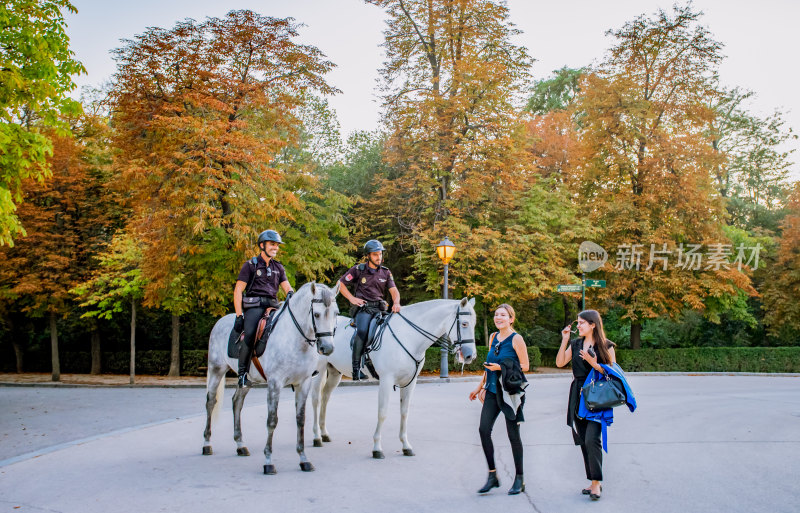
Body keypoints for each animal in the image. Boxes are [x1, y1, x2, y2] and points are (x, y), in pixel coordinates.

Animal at [203, 282, 338, 474]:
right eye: (317, 314)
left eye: (336, 313)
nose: (327, 348)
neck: (295, 338)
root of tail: (220, 321)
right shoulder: (275, 384)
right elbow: (272, 420)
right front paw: (268, 461)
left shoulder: (303, 383)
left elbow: (300, 420)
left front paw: (303, 459)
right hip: (216, 370)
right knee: (211, 402)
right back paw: (207, 444)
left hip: (247, 379)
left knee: (237, 402)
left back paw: (240, 445)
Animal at [310, 294, 476, 458]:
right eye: (465, 324)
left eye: (473, 324)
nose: (470, 356)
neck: (409, 337)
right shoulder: (386, 380)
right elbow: (382, 413)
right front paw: (377, 448)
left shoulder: (410, 382)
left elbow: (404, 412)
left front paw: (406, 446)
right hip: (319, 371)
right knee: (316, 399)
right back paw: (317, 437)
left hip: (334, 373)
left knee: (325, 398)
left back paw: (324, 434)